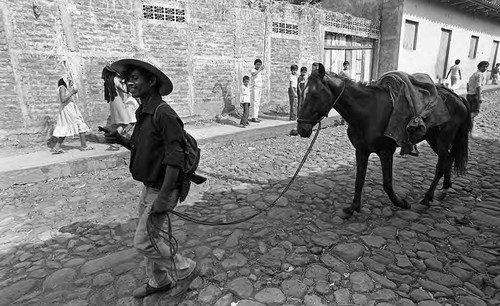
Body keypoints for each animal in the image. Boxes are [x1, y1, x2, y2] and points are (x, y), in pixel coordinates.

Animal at [296, 63, 472, 218]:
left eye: (314, 95)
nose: (301, 129)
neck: (368, 112)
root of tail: (458, 98)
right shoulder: (361, 150)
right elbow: (359, 180)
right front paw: (353, 208)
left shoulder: (386, 151)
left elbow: (387, 183)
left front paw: (401, 203)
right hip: (432, 139)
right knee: (448, 158)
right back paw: (444, 189)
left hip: (443, 139)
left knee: (441, 164)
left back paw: (427, 198)